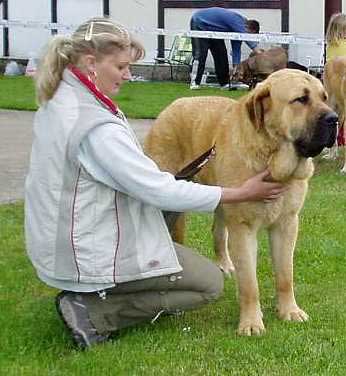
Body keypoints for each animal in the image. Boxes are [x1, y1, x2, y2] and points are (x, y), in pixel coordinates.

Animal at [145, 69, 336, 336]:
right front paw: (251, 323)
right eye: (301, 99)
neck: (271, 159)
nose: (335, 119)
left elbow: (285, 275)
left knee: (217, 231)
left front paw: (289, 311)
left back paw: (224, 264)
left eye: (324, 97)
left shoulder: (287, 225)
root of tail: (173, 105)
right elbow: (249, 284)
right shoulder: (243, 228)